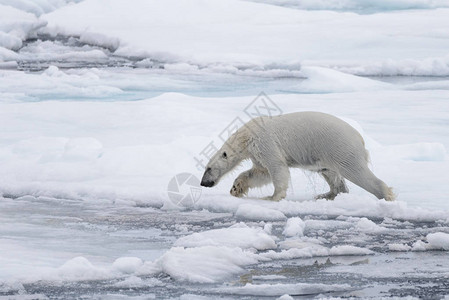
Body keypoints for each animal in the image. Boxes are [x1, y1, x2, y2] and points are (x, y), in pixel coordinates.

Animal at [200, 112, 392, 202]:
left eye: (208, 168)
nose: (203, 183)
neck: (246, 136)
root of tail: (359, 137)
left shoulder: (265, 142)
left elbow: (277, 168)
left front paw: (272, 197)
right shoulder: (256, 152)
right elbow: (260, 173)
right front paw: (236, 189)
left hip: (340, 147)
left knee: (356, 172)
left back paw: (386, 195)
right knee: (330, 173)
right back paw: (326, 195)